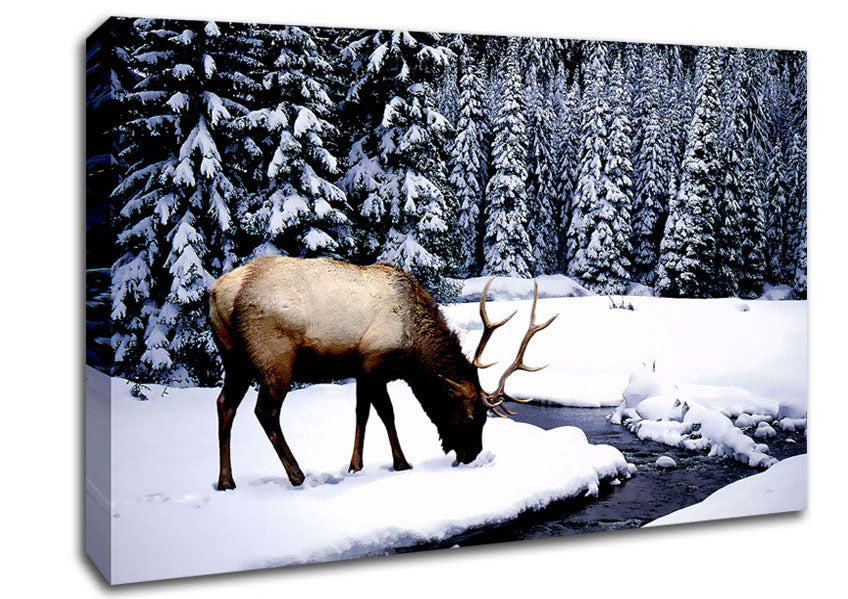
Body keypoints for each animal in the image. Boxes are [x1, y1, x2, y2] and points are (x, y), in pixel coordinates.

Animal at [209, 255, 557, 490]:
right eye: (472, 417)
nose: (472, 454)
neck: (414, 349)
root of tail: (218, 293)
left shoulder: (362, 369)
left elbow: (362, 413)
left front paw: (356, 465)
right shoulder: (373, 360)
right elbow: (385, 413)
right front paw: (400, 462)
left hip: (234, 359)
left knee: (225, 404)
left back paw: (226, 481)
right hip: (274, 358)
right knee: (265, 412)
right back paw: (297, 474)